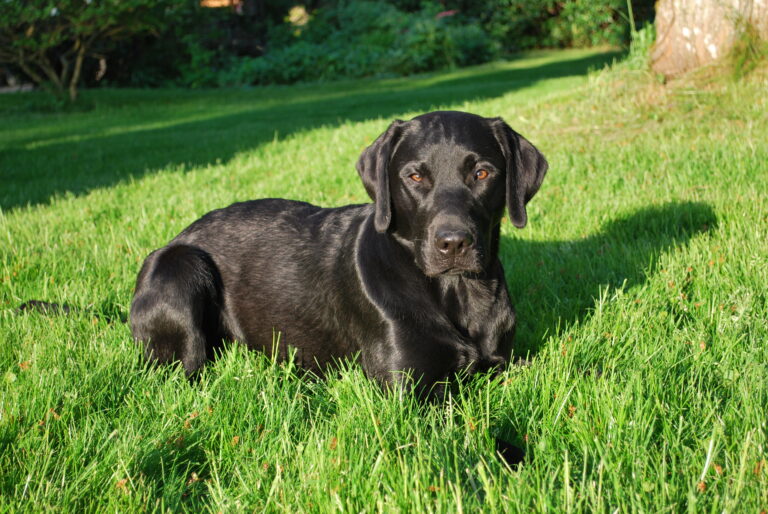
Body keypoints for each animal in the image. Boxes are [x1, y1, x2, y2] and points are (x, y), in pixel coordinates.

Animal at [130, 111, 544, 392]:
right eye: (415, 176)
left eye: (482, 174)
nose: (453, 243)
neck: (456, 292)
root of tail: (181, 233)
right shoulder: (408, 387)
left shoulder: (504, 362)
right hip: (183, 265)